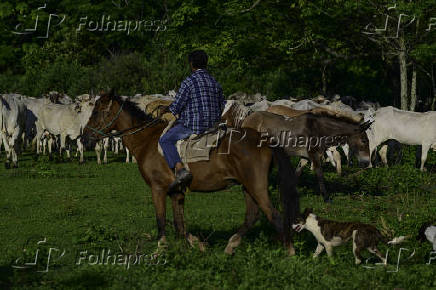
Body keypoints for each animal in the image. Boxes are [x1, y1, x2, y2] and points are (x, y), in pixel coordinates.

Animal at [82, 93, 300, 256]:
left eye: (97, 111)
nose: (84, 137)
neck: (147, 140)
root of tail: (264, 140)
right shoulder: (176, 191)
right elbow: (180, 224)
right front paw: (197, 244)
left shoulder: (157, 189)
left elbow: (161, 220)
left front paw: (161, 249)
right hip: (248, 187)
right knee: (253, 215)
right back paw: (231, 245)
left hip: (256, 186)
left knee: (274, 215)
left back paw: (289, 252)